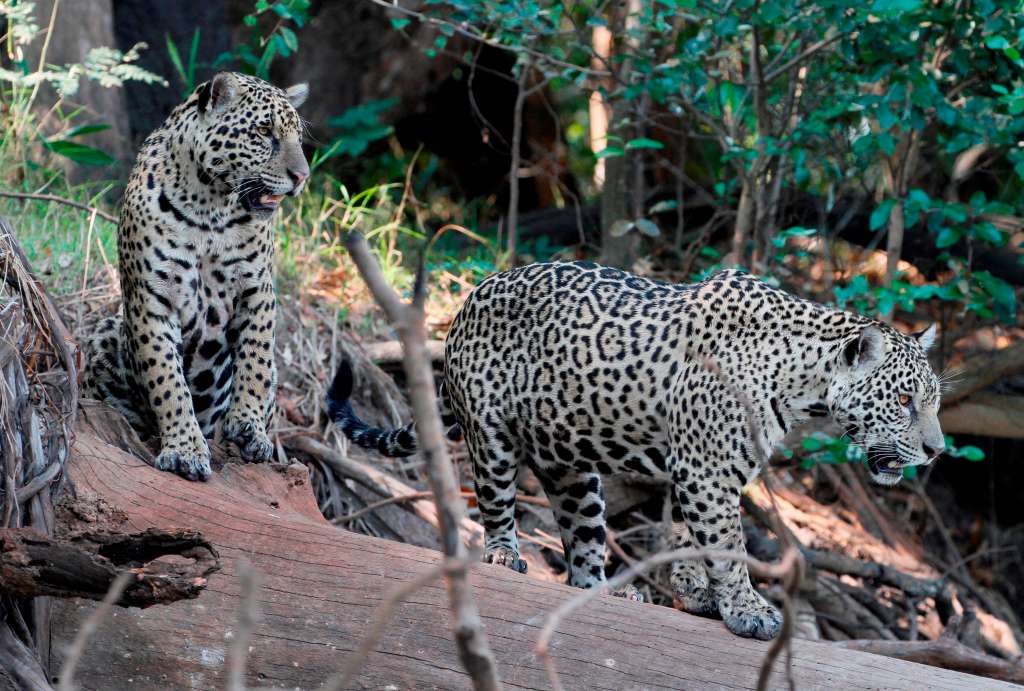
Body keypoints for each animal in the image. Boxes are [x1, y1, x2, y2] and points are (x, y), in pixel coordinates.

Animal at [83, 72, 309, 481]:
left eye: (297, 137)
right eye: (263, 131)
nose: (302, 176)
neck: (211, 210)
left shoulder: (257, 290)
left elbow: (255, 360)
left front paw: (248, 426)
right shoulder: (151, 301)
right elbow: (167, 380)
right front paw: (185, 450)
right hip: (106, 333)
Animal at [327, 261, 945, 640]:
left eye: (933, 401)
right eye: (906, 399)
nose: (937, 451)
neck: (802, 383)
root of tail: (466, 303)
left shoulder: (710, 472)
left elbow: (701, 539)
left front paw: (696, 592)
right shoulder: (706, 468)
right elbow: (728, 546)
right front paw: (747, 611)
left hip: (573, 471)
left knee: (582, 547)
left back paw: (608, 593)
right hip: (491, 435)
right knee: (496, 501)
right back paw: (504, 554)